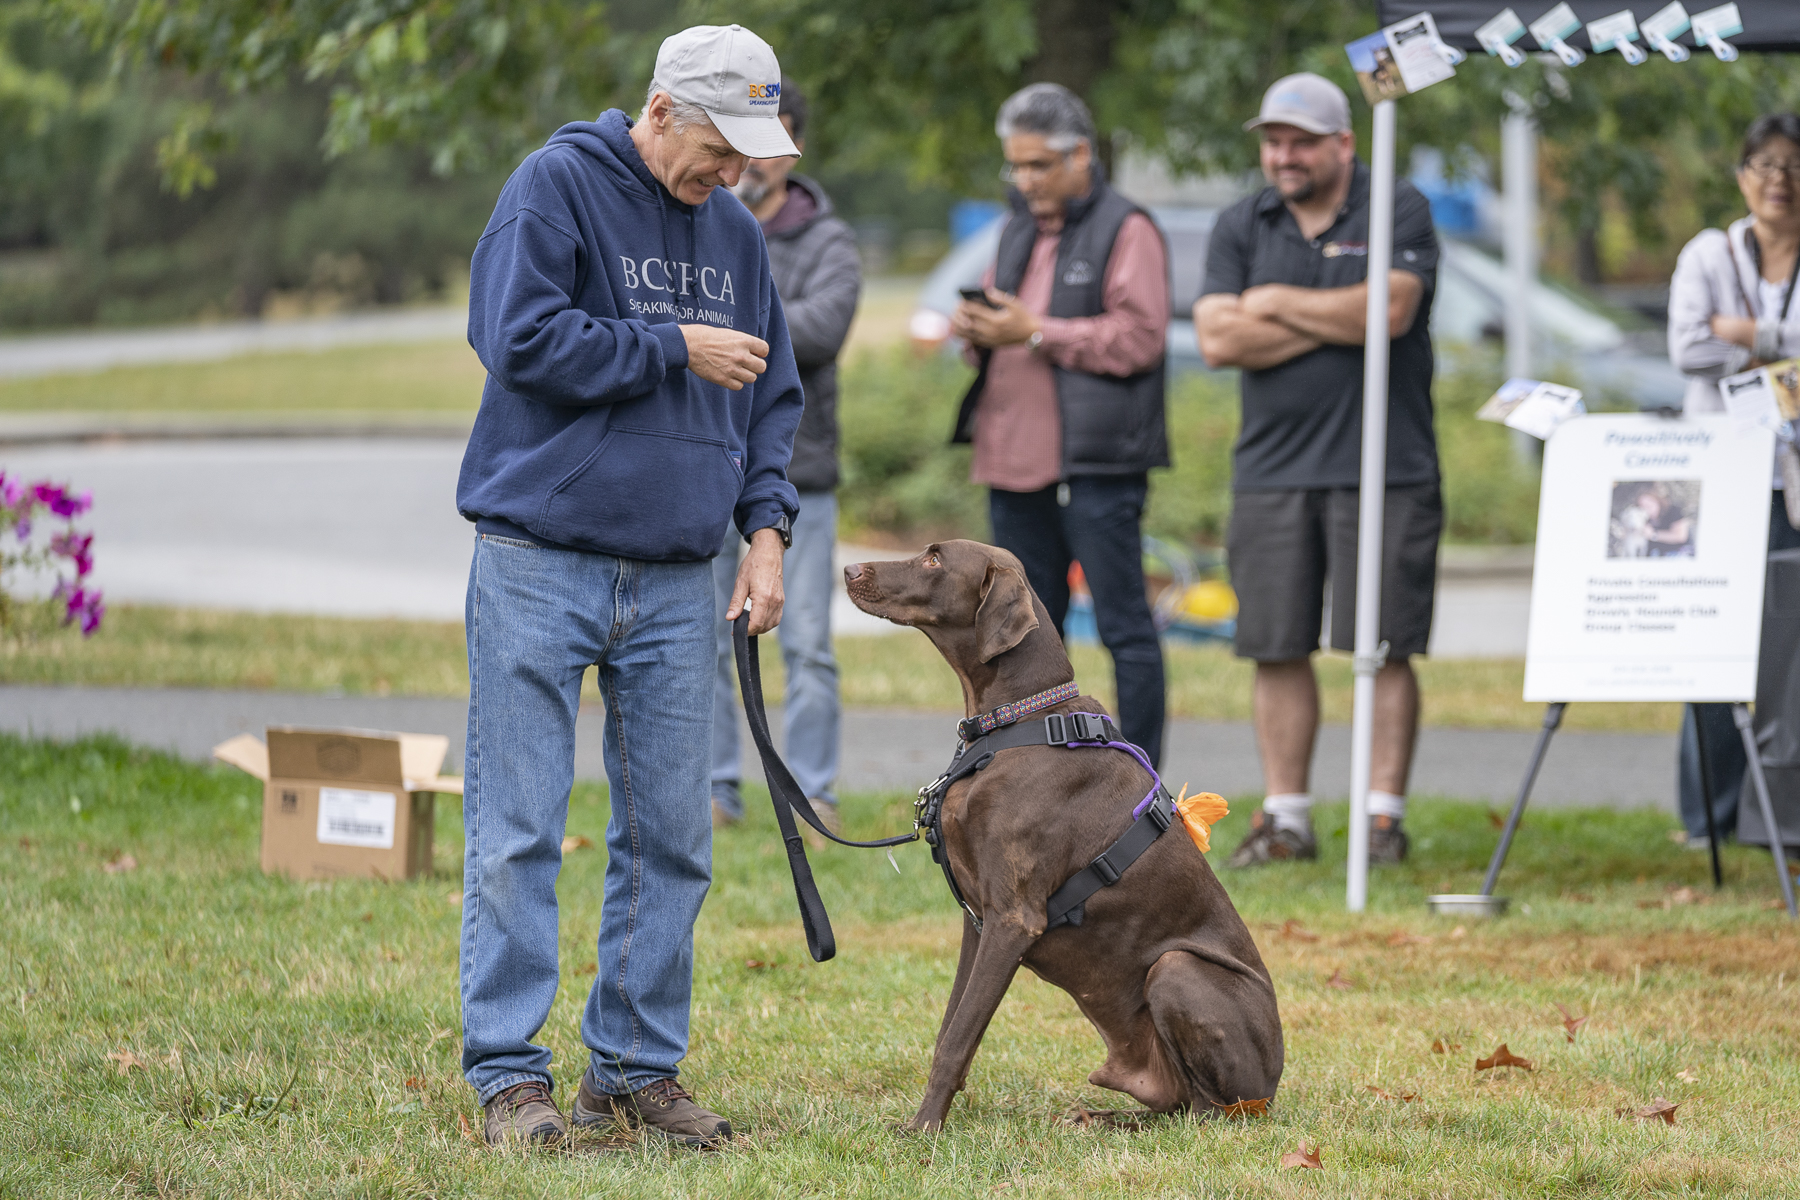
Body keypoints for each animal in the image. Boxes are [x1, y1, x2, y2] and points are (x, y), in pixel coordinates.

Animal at [842, 539, 1281, 1129]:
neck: (1020, 720)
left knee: (1208, 1110)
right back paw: (1104, 1118)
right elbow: (950, 1029)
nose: (848, 568)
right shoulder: (978, 919)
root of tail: (1273, 1086)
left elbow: (958, 1038)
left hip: (1178, 971)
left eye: (934, 559)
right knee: (1177, 1105)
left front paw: (924, 1130)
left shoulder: (1013, 918)